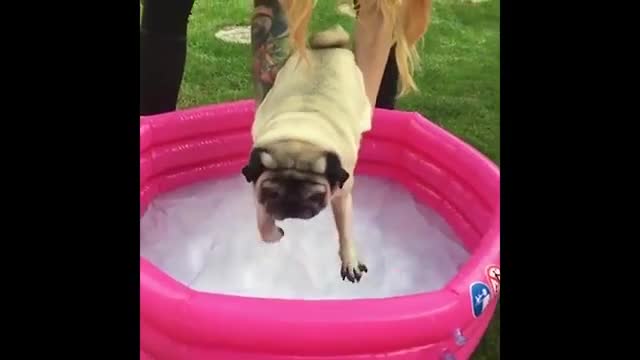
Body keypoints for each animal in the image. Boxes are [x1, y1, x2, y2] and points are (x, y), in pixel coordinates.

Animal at [241, 26, 372, 284]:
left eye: (314, 195)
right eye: (273, 193)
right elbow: (263, 226)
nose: (291, 204)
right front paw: (274, 233)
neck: (301, 130)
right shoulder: (257, 187)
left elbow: (345, 231)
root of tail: (328, 49)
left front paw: (349, 259)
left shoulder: (343, 195)